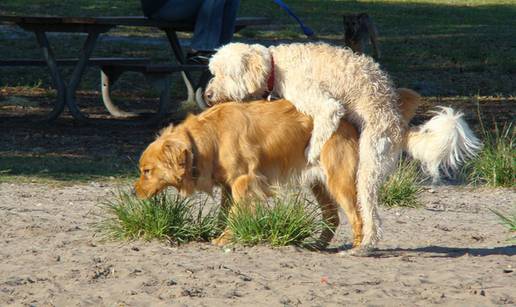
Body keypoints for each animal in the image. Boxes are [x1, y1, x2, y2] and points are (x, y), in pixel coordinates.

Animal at [136, 89, 480, 255]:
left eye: (147, 171)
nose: (135, 193)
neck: (208, 138)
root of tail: (354, 122)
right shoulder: (228, 187)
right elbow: (224, 213)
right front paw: (218, 233)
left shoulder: (245, 182)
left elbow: (234, 216)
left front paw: (226, 237)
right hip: (320, 184)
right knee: (333, 218)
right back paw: (318, 245)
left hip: (341, 181)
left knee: (358, 216)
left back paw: (357, 248)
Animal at [204, 42, 406, 251]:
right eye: (215, 72)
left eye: (226, 74)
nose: (207, 95)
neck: (276, 66)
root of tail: (397, 118)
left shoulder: (323, 104)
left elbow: (324, 123)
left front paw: (311, 151)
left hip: (370, 157)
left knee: (367, 211)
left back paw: (366, 242)